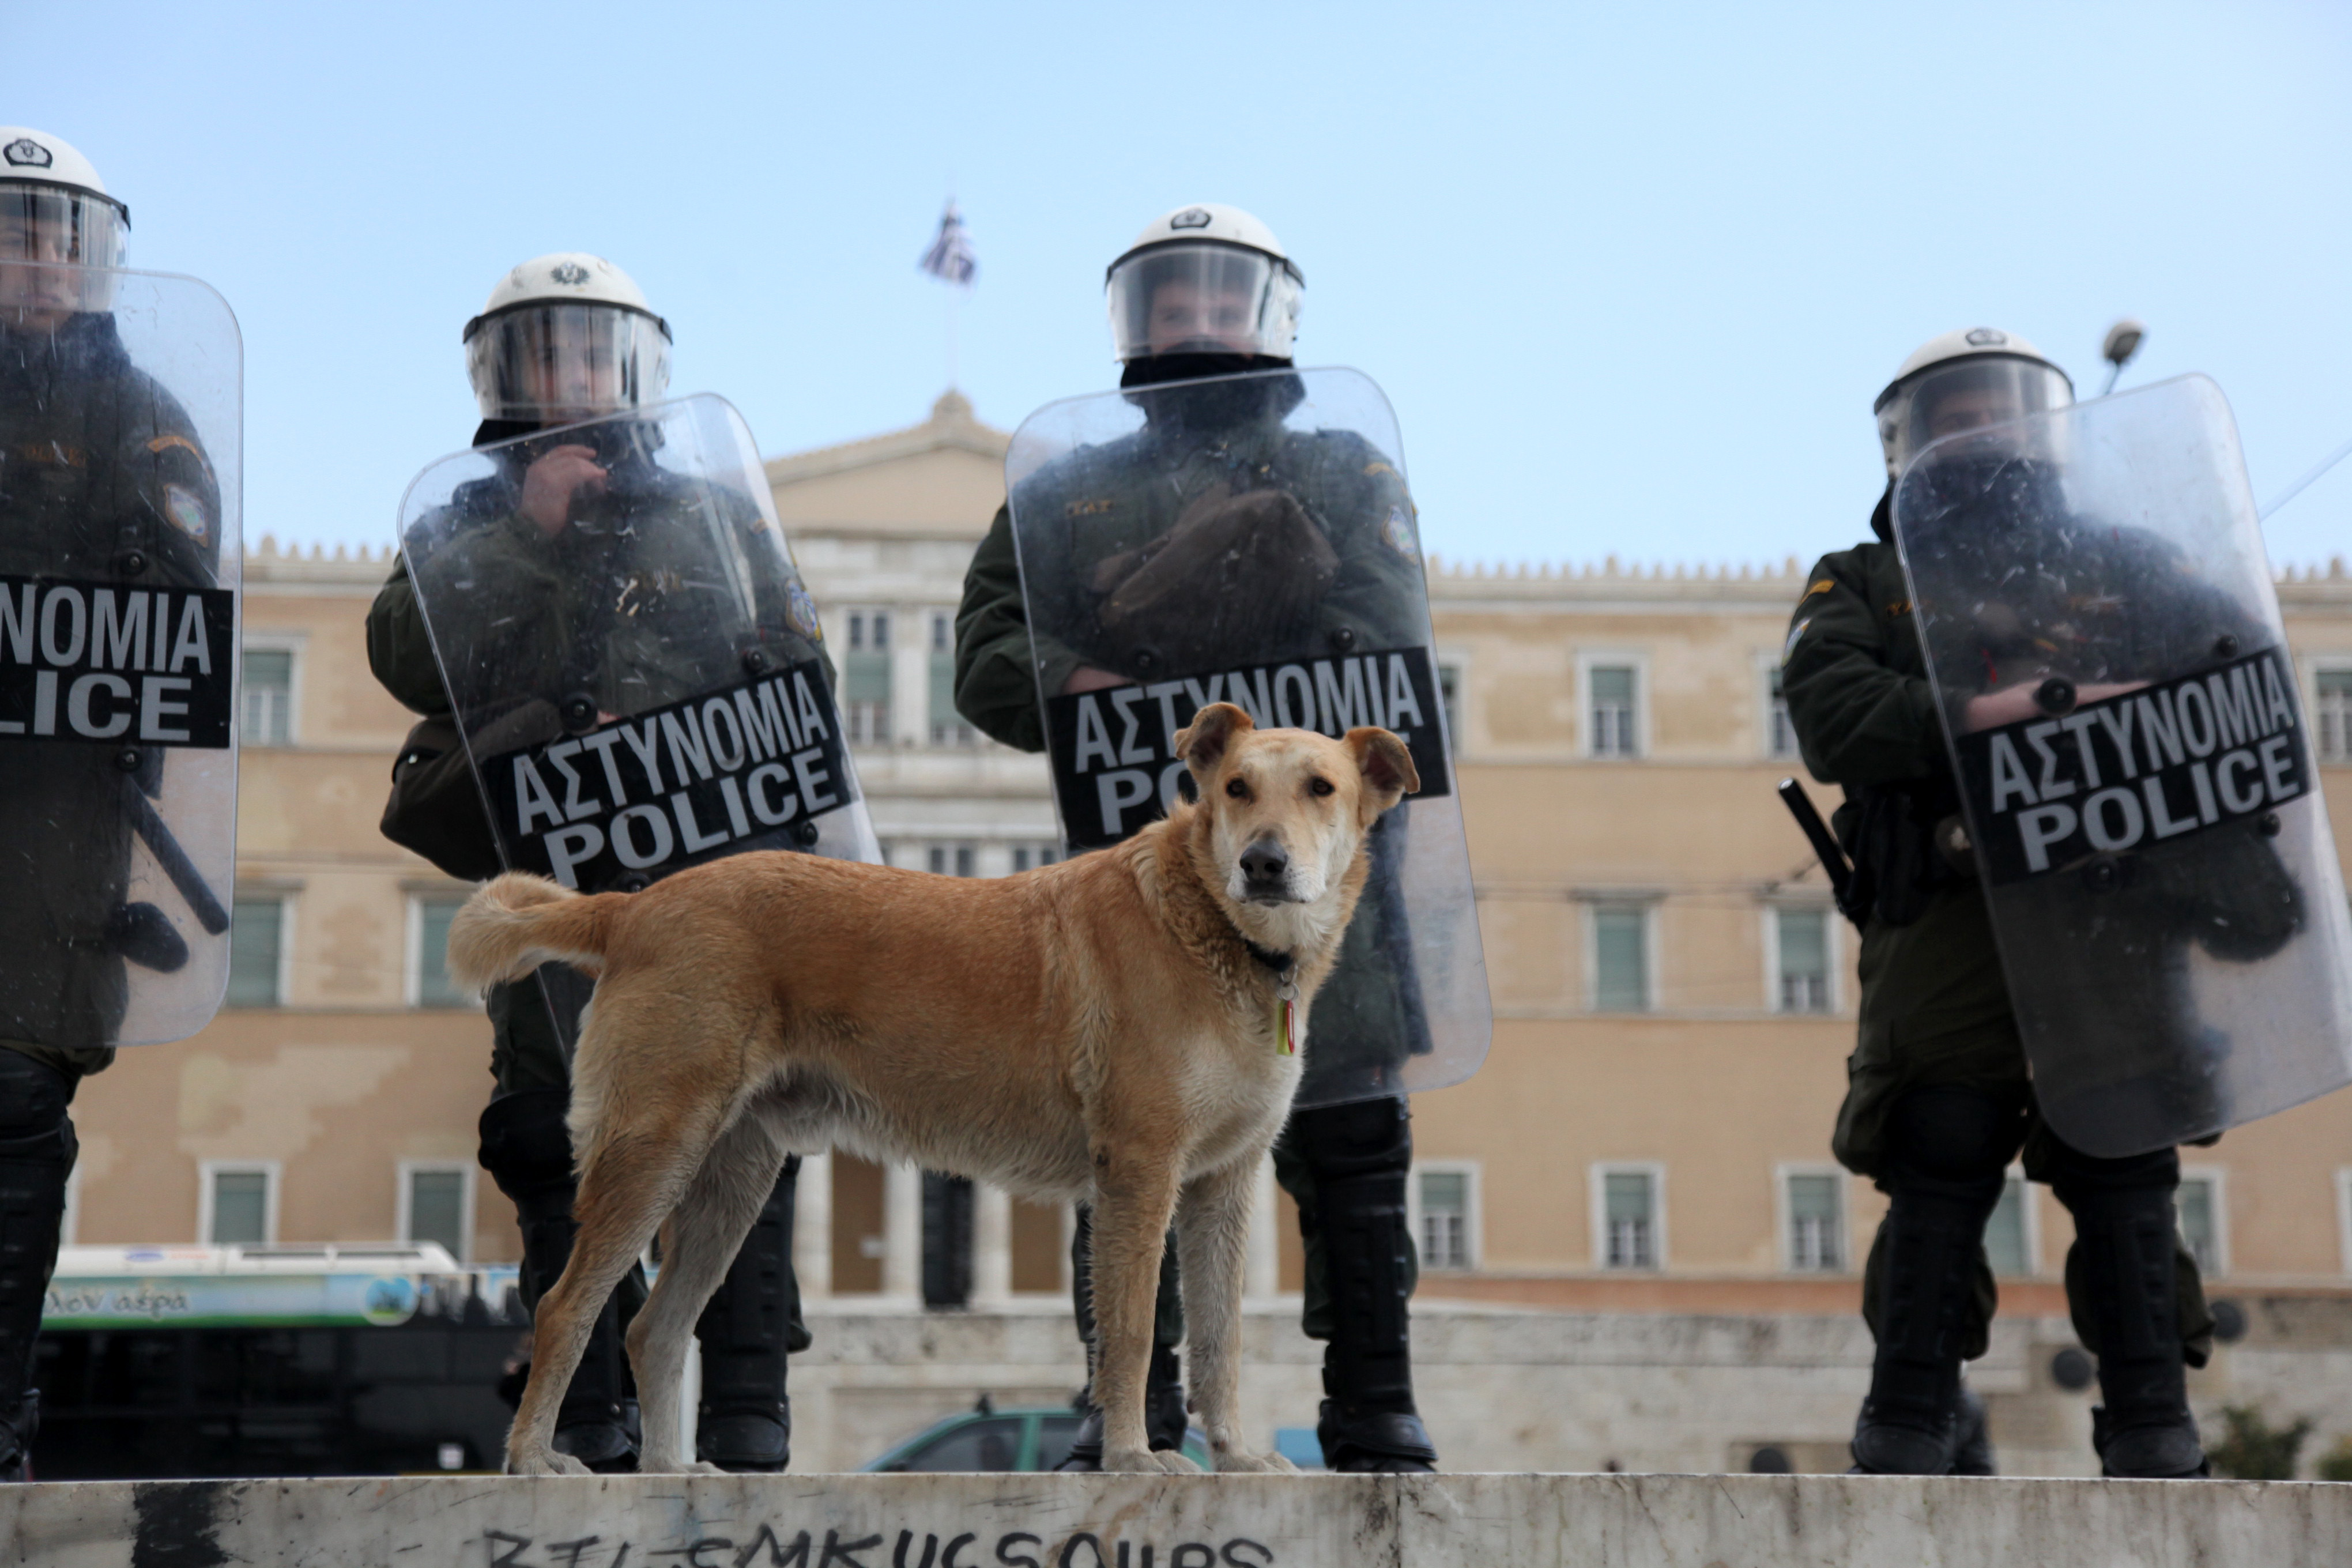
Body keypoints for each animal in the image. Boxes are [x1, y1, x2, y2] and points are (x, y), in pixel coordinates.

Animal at [449, 705, 1420, 1476]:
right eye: (1237, 788)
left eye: (1322, 788)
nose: (1263, 864)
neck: (1217, 931)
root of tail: (631, 907)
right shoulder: (1140, 1174)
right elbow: (1135, 1331)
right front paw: (1133, 1461)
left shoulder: (1224, 1183)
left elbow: (1221, 1338)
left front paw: (1235, 1458)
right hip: (655, 1146)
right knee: (565, 1306)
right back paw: (534, 1460)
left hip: (733, 1176)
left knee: (652, 1327)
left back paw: (666, 1478)